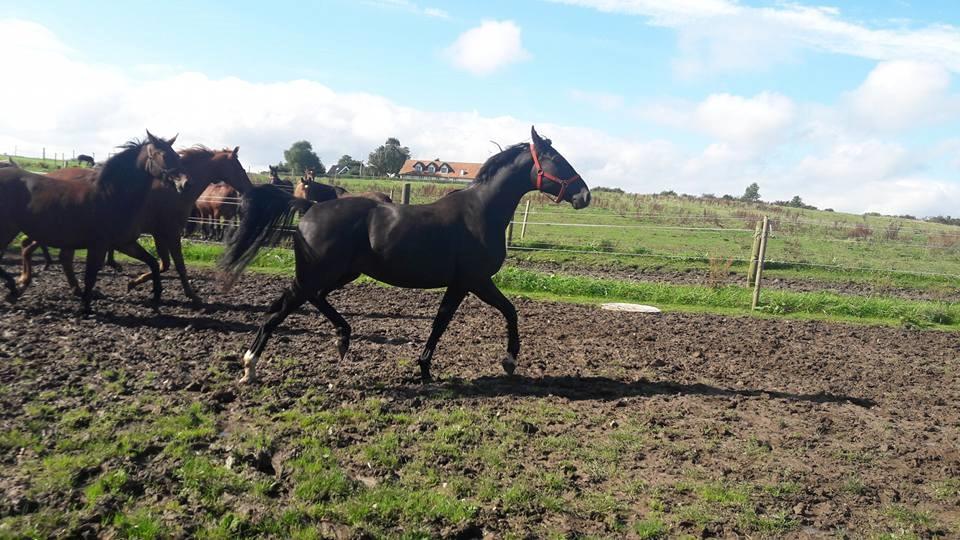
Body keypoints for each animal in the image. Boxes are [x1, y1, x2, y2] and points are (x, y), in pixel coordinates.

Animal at [0, 130, 182, 312]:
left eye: (176, 155)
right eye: (164, 155)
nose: (182, 183)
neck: (111, 195)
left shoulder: (124, 243)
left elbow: (152, 262)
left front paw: (155, 296)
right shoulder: (98, 245)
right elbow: (90, 276)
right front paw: (86, 307)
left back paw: (17, 286)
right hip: (9, 230)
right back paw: (14, 287)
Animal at [23, 148, 255, 308]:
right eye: (239, 167)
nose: (249, 187)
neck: (172, 190)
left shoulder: (158, 234)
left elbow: (162, 264)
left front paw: (135, 283)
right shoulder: (168, 233)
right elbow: (176, 265)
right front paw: (192, 296)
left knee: (51, 253)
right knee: (40, 249)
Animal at [220, 127, 588, 384]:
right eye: (558, 160)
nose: (584, 195)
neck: (480, 212)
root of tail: (309, 206)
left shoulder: (467, 283)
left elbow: (498, 313)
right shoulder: (472, 281)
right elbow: (455, 320)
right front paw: (434, 368)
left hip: (340, 273)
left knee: (311, 299)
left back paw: (341, 338)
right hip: (317, 274)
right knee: (280, 308)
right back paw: (251, 366)